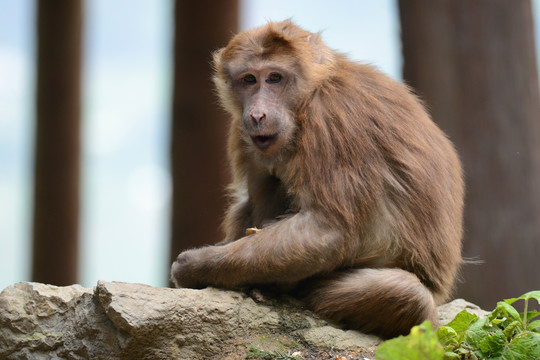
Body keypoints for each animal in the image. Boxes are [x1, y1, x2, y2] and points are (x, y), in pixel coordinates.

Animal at [170, 21, 464, 338]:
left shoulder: (332, 119)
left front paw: (196, 265)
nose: (257, 114)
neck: (308, 98)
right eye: (249, 79)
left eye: (275, 78)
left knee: (408, 294)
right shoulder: (242, 130)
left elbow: (327, 230)